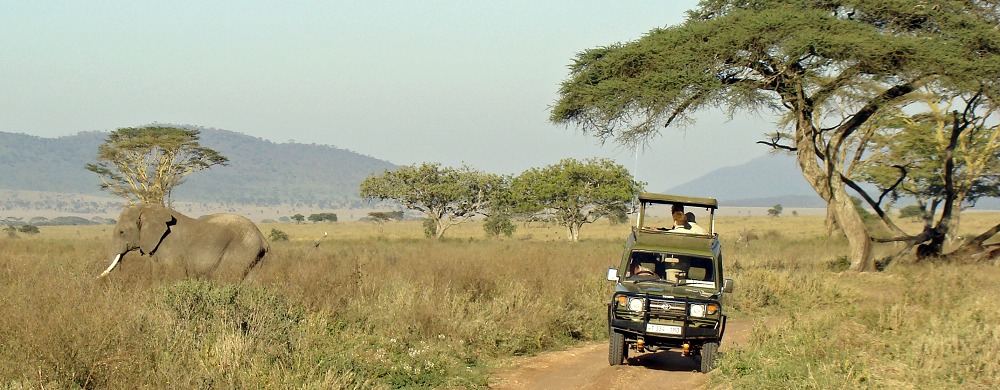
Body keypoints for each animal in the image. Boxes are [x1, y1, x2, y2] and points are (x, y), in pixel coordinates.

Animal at [98, 203, 270, 282]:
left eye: (122, 232)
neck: (148, 209)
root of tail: (262, 238)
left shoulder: (170, 248)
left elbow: (175, 276)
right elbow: (156, 275)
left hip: (241, 249)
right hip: (254, 255)